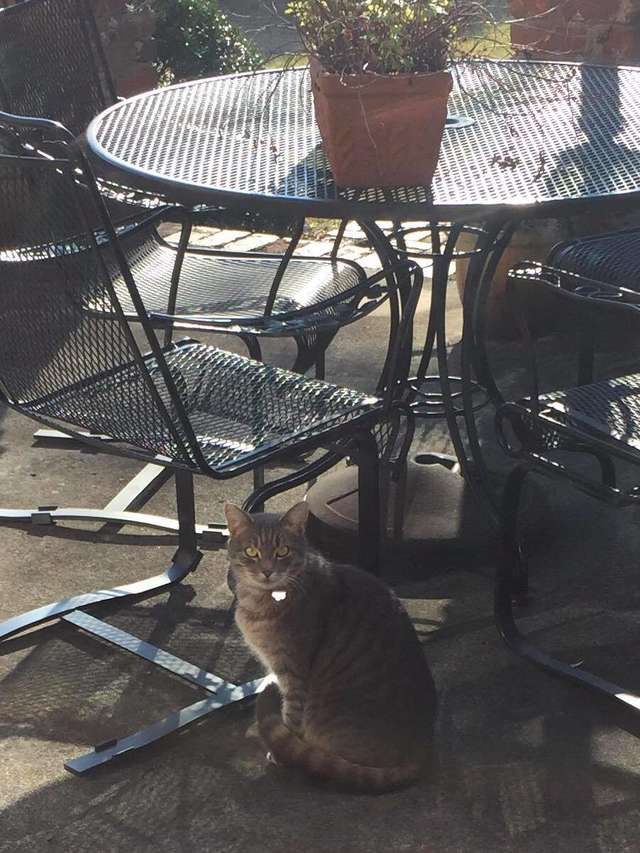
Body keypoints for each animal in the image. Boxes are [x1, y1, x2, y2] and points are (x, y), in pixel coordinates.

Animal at [222, 500, 438, 792]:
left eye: (282, 550)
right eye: (251, 551)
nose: (267, 571)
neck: (261, 600)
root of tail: (422, 748)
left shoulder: (293, 671)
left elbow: (290, 714)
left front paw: (280, 751)